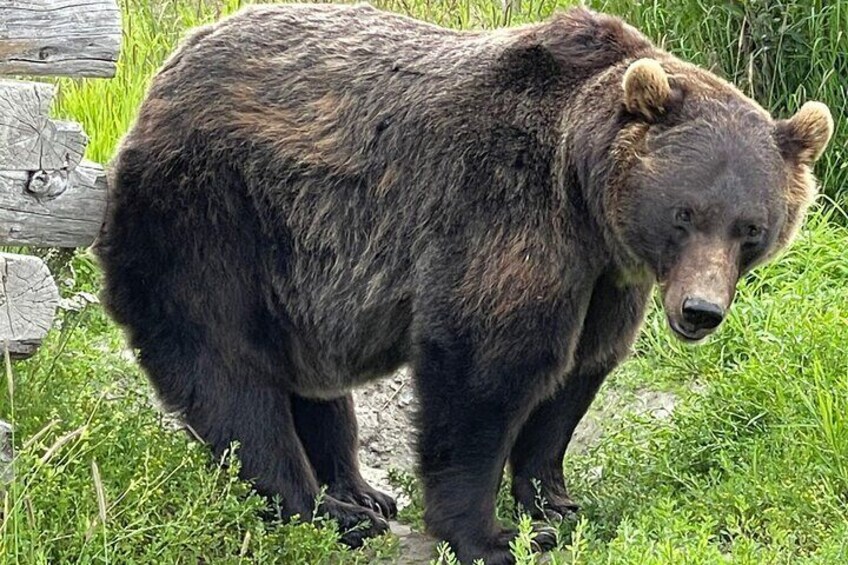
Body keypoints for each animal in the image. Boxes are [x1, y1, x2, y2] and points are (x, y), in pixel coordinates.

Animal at [95, 3, 834, 564]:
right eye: (685, 213)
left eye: (750, 227)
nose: (700, 310)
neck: (584, 195)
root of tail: (163, 77)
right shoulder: (504, 209)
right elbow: (486, 368)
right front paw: (489, 534)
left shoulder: (604, 278)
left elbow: (576, 375)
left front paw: (557, 503)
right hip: (209, 215)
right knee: (225, 369)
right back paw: (320, 509)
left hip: (297, 265)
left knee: (308, 375)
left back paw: (358, 489)